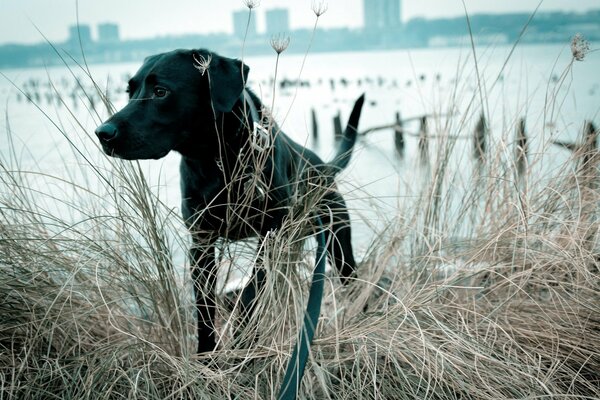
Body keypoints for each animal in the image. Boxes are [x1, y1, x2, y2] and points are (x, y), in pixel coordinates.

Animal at [96, 48, 364, 352]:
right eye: (130, 91)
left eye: (160, 91)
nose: (103, 133)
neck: (216, 160)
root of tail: (323, 167)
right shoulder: (201, 244)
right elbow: (204, 307)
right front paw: (206, 354)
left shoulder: (269, 237)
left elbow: (251, 293)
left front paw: (242, 342)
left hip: (337, 240)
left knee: (350, 276)